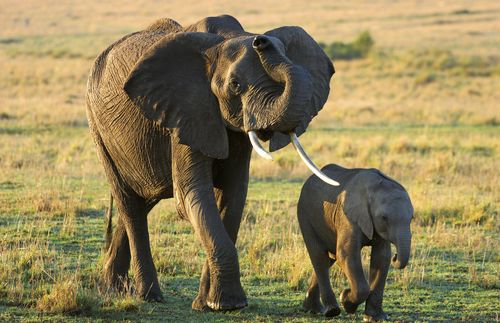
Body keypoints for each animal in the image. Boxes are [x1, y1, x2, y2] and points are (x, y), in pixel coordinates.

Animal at [86, 15, 338, 312]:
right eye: (236, 85)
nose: (261, 41)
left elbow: (233, 196)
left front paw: (208, 304)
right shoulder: (189, 109)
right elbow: (191, 195)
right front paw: (227, 304)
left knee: (144, 198)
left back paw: (113, 288)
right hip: (98, 128)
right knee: (130, 204)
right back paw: (148, 296)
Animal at [298, 165, 412, 322]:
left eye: (412, 218)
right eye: (384, 218)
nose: (396, 256)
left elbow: (381, 258)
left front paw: (375, 318)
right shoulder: (348, 216)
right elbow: (346, 254)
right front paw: (346, 300)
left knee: (329, 258)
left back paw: (312, 309)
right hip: (306, 215)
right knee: (319, 257)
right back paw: (332, 311)